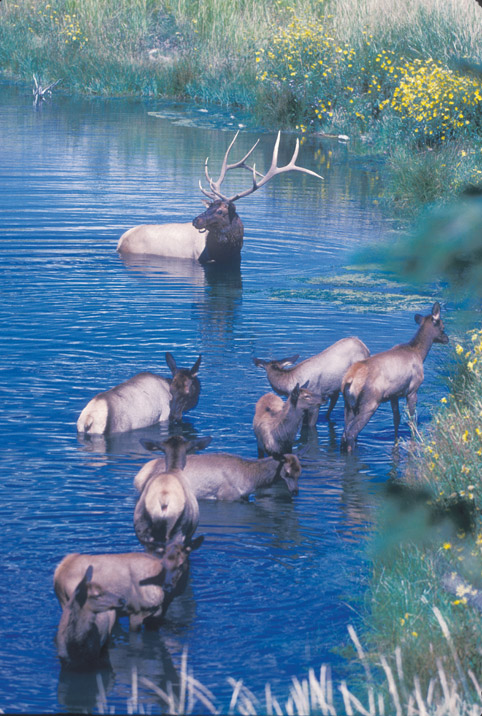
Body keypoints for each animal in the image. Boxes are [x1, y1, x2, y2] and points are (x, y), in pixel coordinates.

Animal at [340, 304, 450, 454]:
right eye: (442, 326)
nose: (447, 338)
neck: (420, 353)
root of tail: (349, 380)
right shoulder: (413, 390)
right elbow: (411, 419)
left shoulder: (394, 395)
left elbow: (396, 419)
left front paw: (396, 440)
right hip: (370, 402)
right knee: (351, 433)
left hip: (348, 404)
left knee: (344, 434)